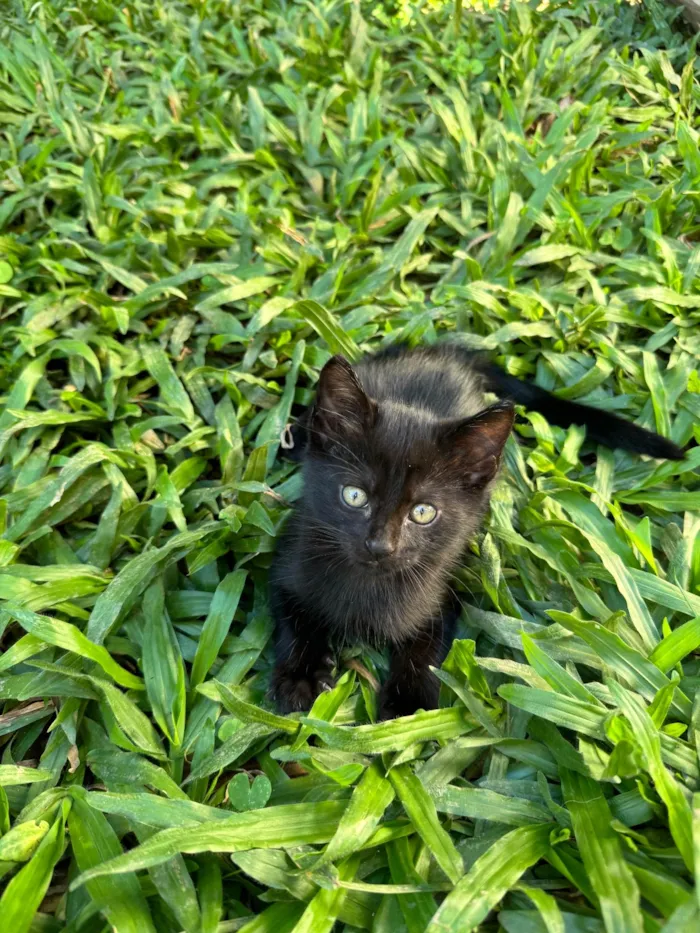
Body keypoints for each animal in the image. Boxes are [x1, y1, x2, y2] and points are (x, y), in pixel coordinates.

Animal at [270, 346, 684, 716]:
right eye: (354, 495)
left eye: (423, 512)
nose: (380, 545)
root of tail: (451, 356)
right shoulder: (290, 557)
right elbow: (294, 618)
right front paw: (301, 675)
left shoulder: (444, 587)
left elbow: (428, 644)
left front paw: (408, 701)